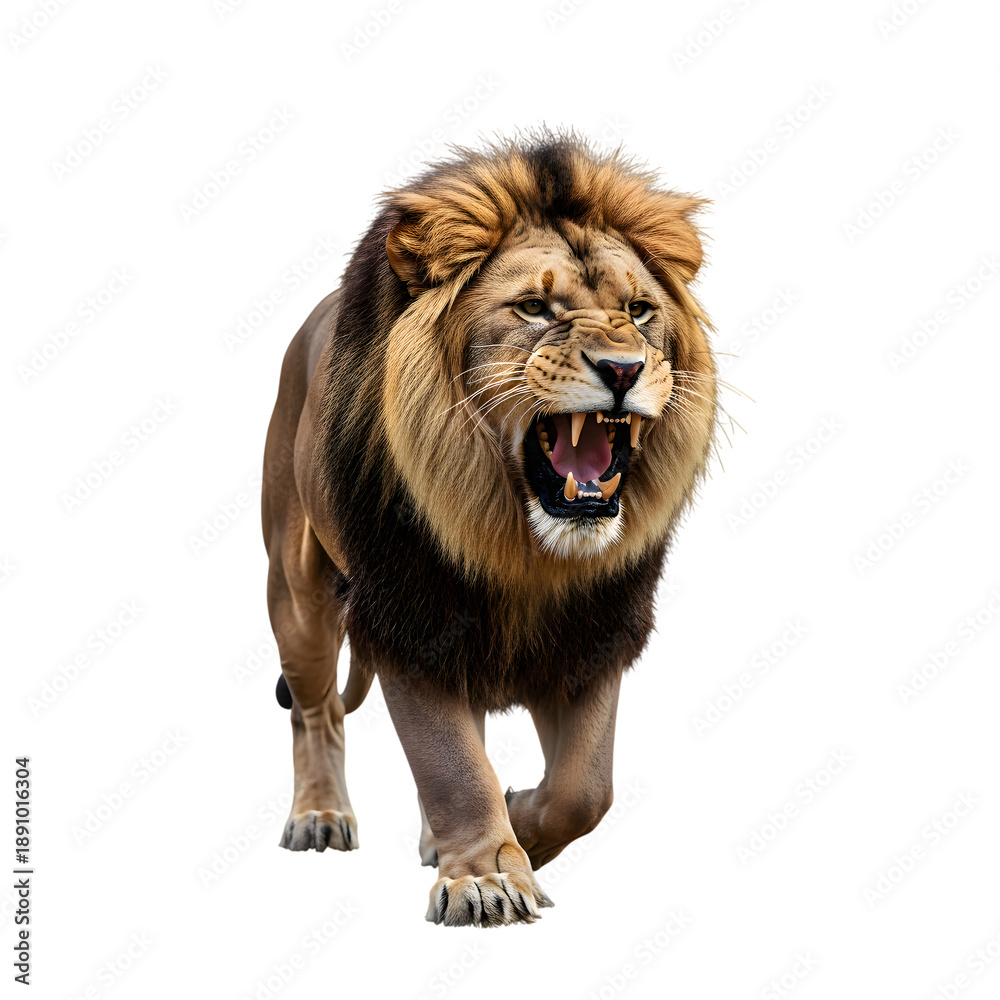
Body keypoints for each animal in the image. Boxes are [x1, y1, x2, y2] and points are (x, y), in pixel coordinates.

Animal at [260, 130, 717, 927]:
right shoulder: (409, 612)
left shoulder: (595, 625)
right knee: (317, 711)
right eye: (533, 307)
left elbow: (584, 788)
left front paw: (520, 827)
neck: (516, 542)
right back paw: (319, 815)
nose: (624, 369)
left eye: (639, 310)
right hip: (298, 596)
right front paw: (485, 877)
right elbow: (450, 761)